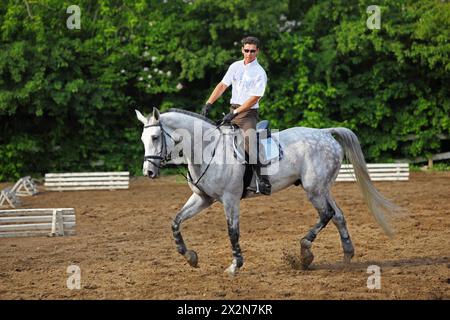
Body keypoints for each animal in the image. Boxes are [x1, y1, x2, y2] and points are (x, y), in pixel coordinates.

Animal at [134, 107, 398, 276]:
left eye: (155, 137)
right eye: (143, 139)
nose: (149, 172)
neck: (207, 149)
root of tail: (324, 132)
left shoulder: (230, 199)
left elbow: (233, 232)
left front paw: (235, 266)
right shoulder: (203, 198)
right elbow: (176, 221)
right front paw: (190, 256)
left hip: (314, 190)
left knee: (327, 215)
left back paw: (305, 253)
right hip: (322, 188)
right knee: (339, 216)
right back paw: (347, 255)